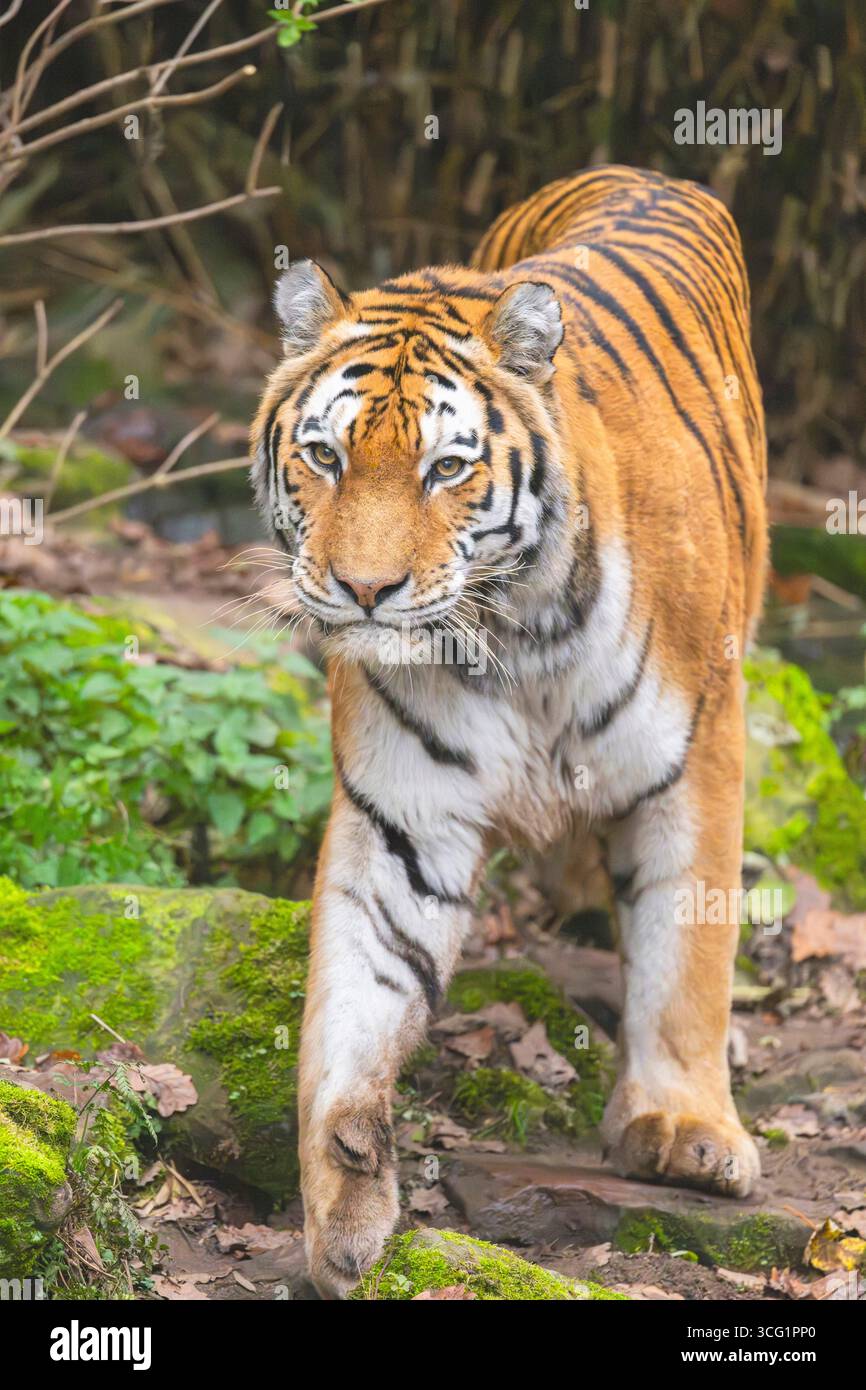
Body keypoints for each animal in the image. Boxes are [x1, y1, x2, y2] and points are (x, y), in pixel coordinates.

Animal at [250, 163, 768, 1299]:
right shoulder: (406, 812)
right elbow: (356, 990)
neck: (512, 636)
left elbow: (687, 948)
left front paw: (686, 1130)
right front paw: (344, 1198)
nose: (362, 589)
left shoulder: (698, 750)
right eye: (323, 455)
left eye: (446, 469)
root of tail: (639, 169)